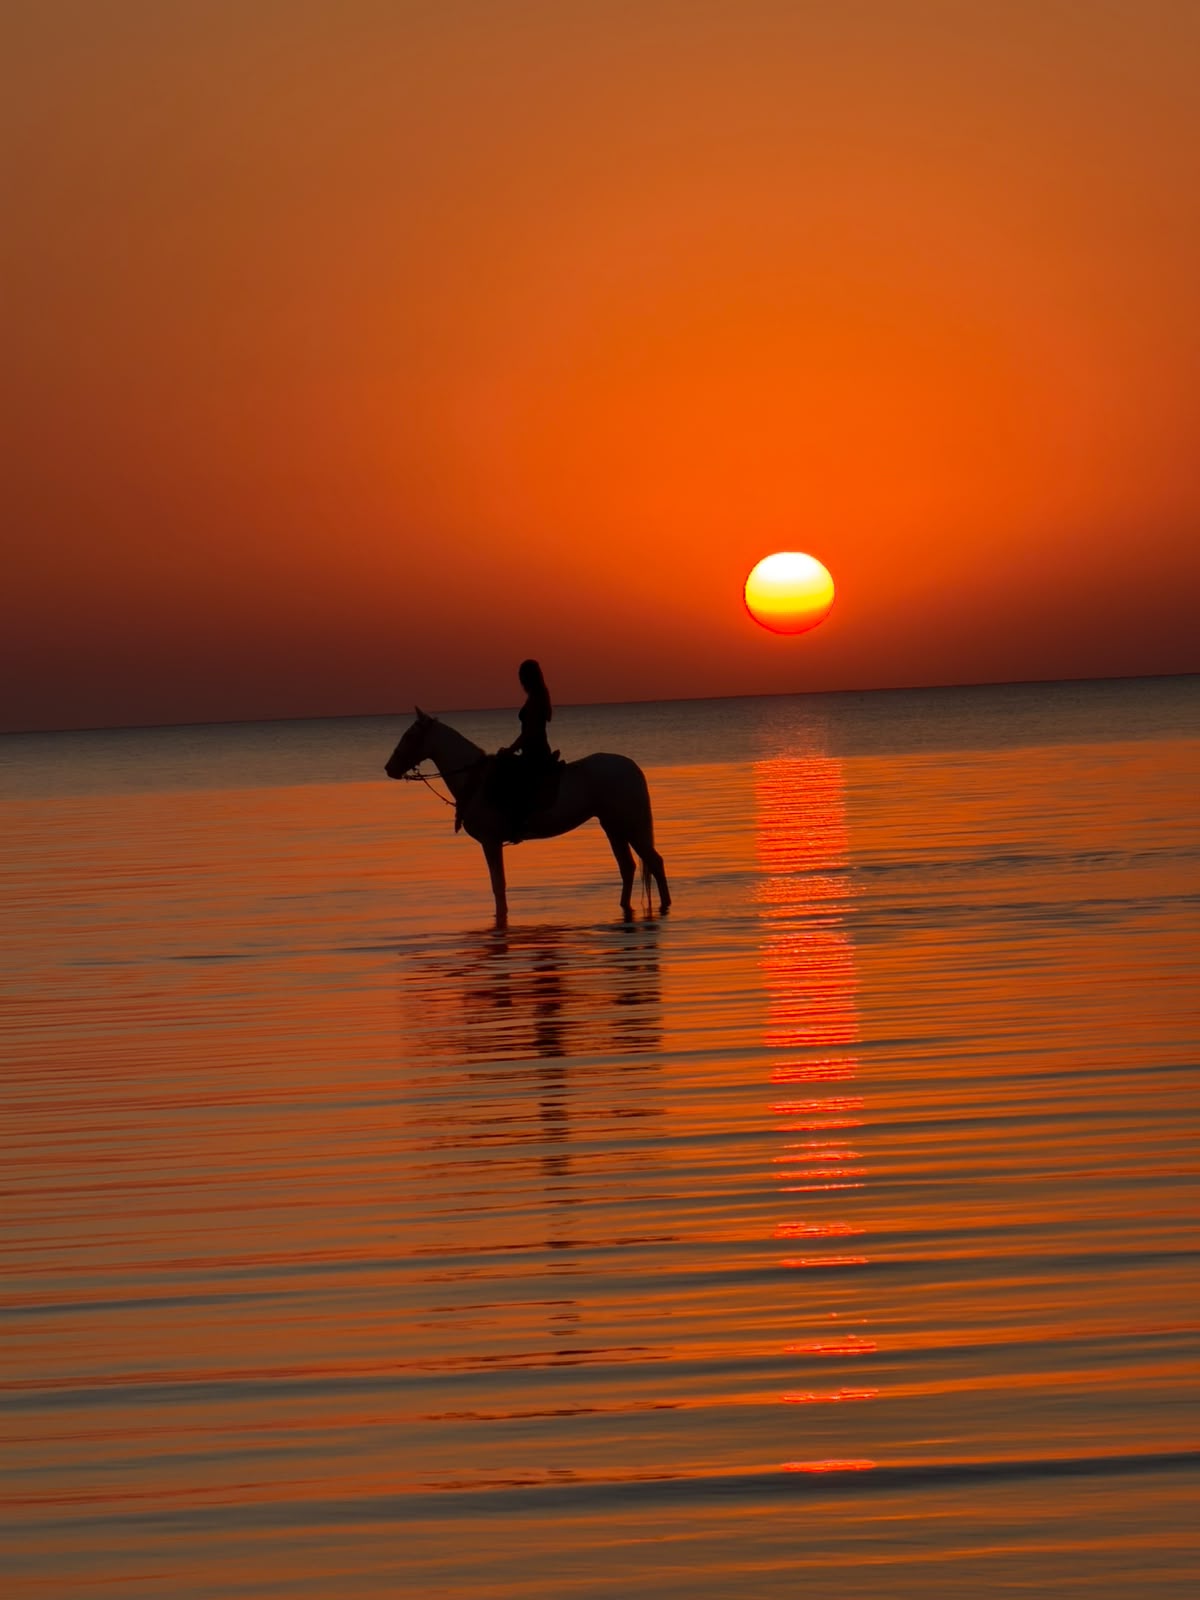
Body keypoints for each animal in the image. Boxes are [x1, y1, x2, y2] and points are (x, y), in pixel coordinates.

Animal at [385, 710, 670, 924]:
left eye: (409, 736)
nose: (389, 768)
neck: (475, 779)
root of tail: (630, 766)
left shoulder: (490, 842)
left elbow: (498, 886)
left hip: (630, 825)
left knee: (654, 862)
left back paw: (666, 904)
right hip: (613, 827)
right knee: (628, 867)